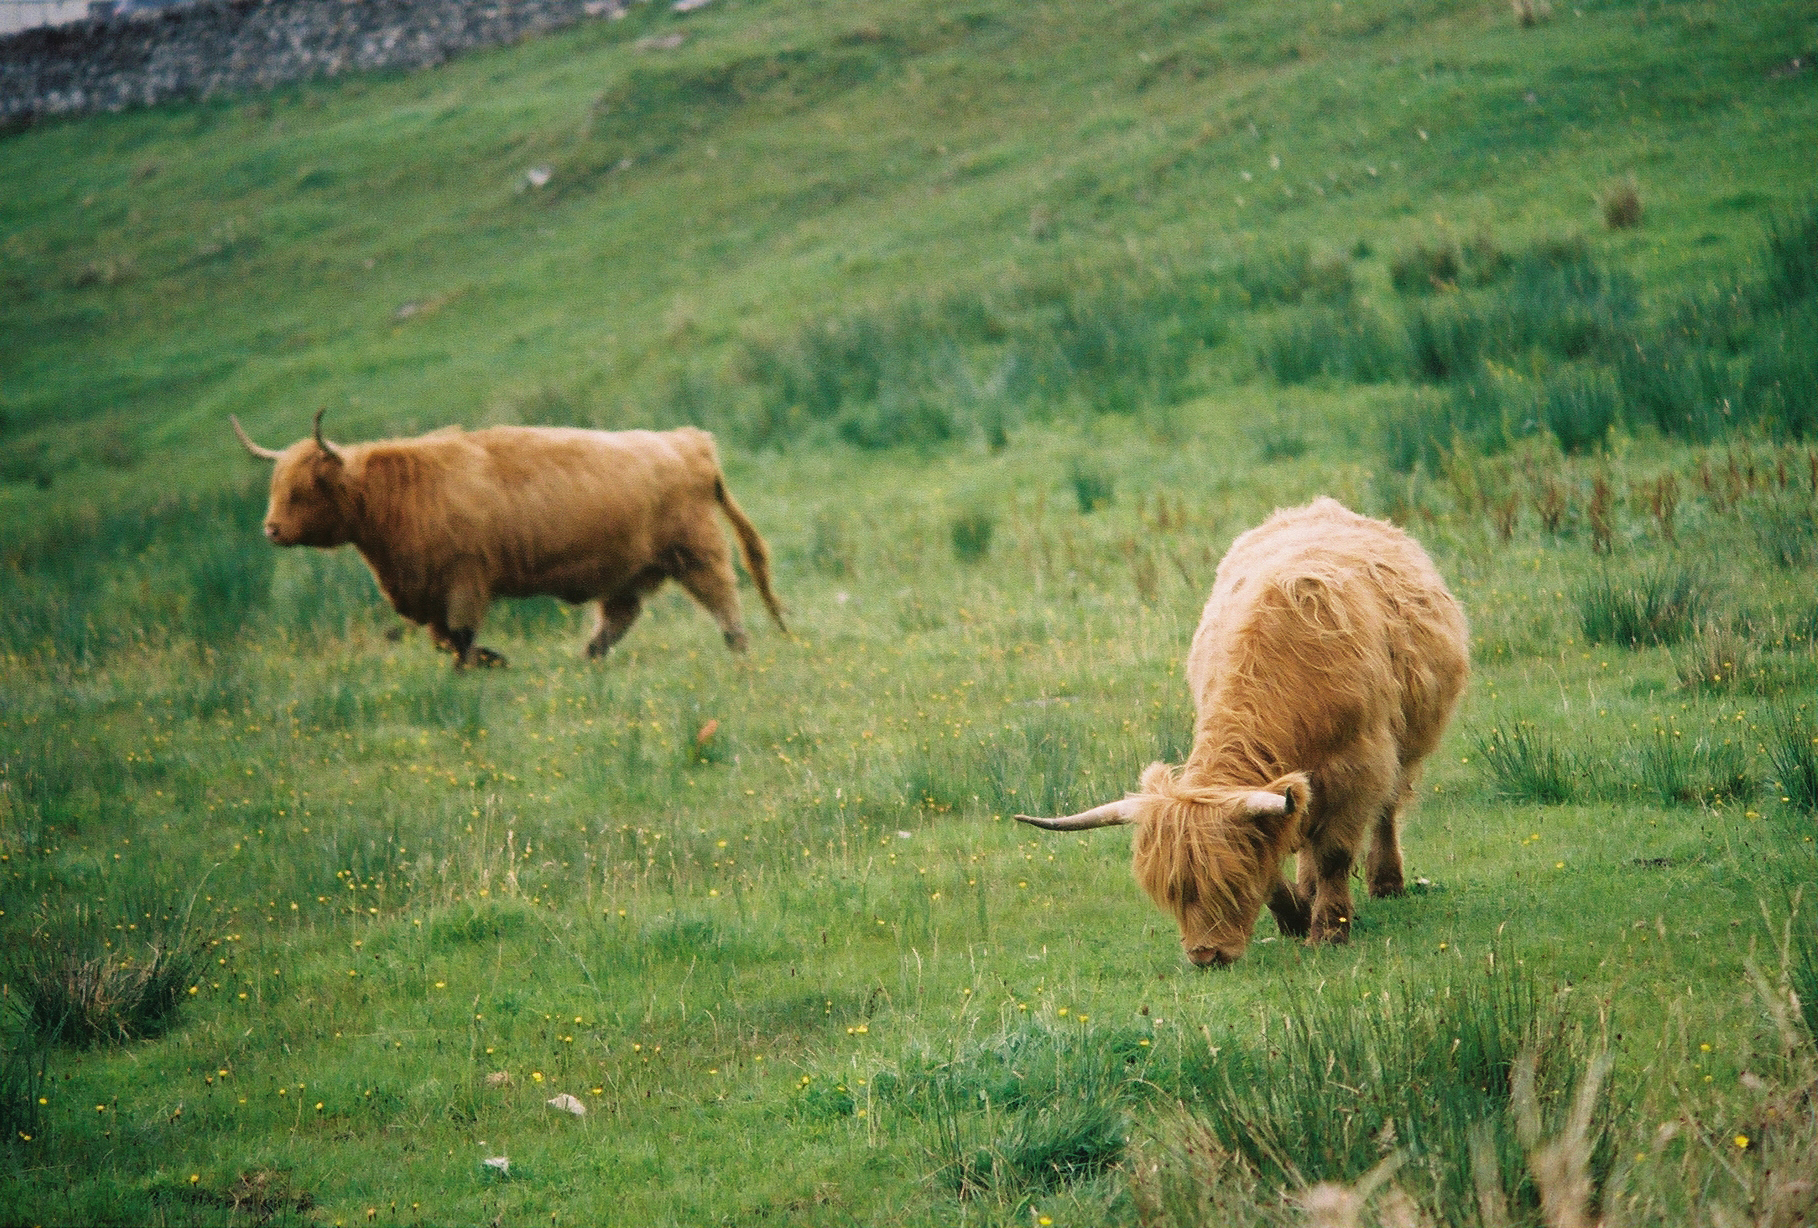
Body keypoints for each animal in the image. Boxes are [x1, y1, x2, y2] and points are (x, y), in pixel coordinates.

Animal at [232, 411, 786, 667]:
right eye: (275, 486)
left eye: (303, 489)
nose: (270, 529)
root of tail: (688, 440)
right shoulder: (430, 593)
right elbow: (444, 639)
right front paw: (493, 660)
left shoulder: (465, 580)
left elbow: (459, 637)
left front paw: (484, 664)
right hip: (625, 569)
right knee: (620, 615)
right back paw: (589, 657)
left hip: (695, 551)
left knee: (722, 596)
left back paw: (738, 647)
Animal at [1017, 497, 1468, 966]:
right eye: (1173, 893)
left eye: (1229, 884)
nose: (1207, 955)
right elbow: (1277, 854)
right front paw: (1296, 915)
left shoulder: (1357, 767)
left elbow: (1334, 852)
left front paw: (1328, 930)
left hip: (1406, 747)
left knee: (1386, 809)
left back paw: (1386, 881)